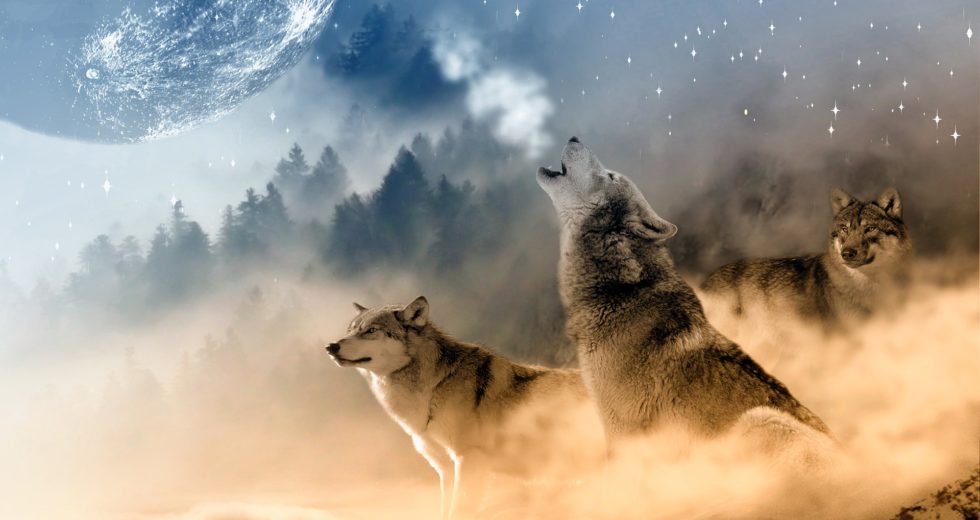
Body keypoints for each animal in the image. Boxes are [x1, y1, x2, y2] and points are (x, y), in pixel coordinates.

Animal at [326, 296, 603, 520]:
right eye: (351, 330)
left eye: (371, 330)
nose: (331, 346)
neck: (432, 388)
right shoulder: (445, 470)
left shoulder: (468, 461)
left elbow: (460, 511)